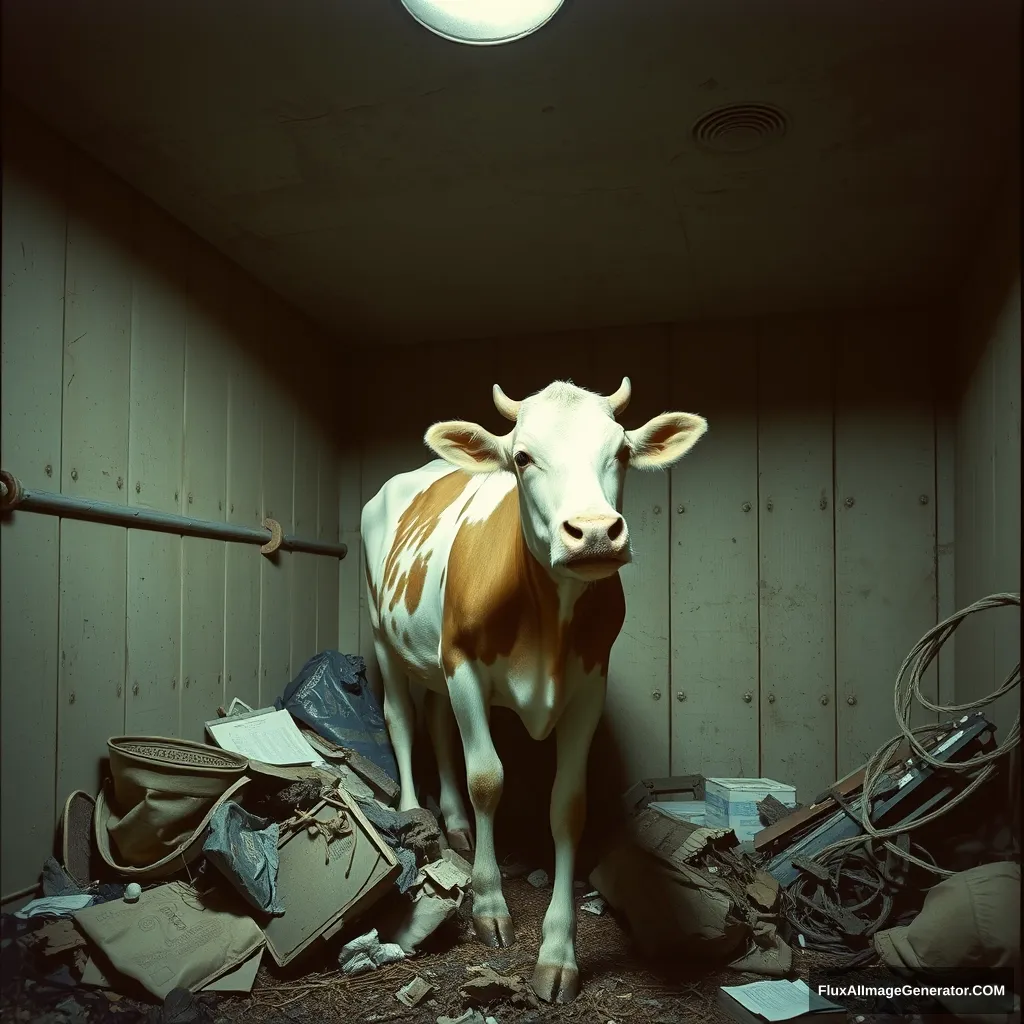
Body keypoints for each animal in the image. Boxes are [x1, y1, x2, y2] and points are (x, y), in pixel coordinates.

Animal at [358, 376, 704, 999]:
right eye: (522, 457)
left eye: (621, 452)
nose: (594, 532)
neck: (549, 617)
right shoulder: (464, 665)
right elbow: (487, 779)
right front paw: (489, 905)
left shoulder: (589, 684)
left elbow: (568, 805)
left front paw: (558, 950)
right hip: (382, 631)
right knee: (400, 718)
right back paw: (414, 814)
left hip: (435, 659)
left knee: (440, 727)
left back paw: (455, 824)